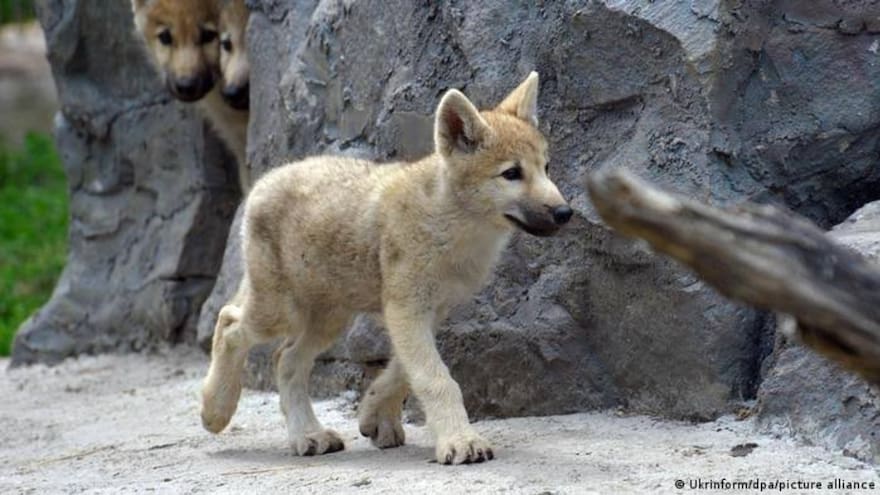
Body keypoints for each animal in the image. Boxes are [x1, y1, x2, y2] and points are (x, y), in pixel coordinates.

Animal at [200, 72, 573, 464]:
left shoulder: (427, 312)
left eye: (546, 168)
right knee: (229, 322)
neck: (452, 225)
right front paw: (461, 440)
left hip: (329, 318)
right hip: (280, 312)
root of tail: (264, 180)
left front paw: (375, 415)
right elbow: (437, 379)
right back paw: (216, 409)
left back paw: (308, 435)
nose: (565, 212)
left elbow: (402, 371)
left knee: (285, 359)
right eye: (512, 173)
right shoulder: (406, 310)